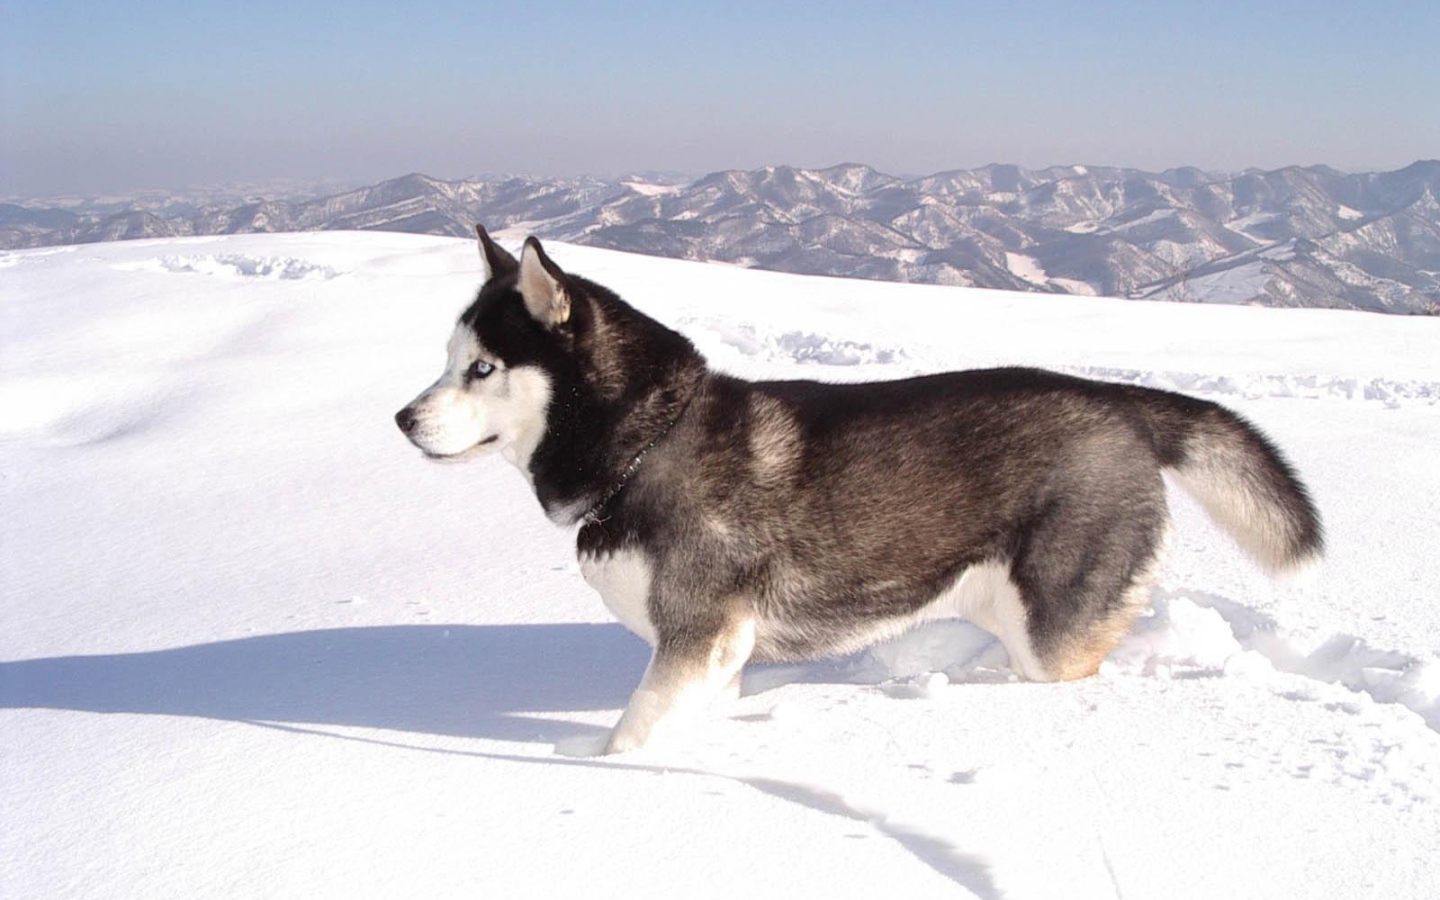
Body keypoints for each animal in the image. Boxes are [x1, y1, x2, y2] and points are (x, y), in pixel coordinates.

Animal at [394, 224, 1319, 748]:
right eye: (447, 359)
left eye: (483, 368)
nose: (402, 418)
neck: (645, 447)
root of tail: (1118, 400)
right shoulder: (719, 657)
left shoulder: (698, 638)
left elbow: (631, 737)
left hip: (1052, 627)